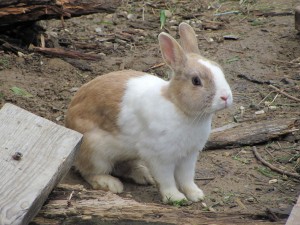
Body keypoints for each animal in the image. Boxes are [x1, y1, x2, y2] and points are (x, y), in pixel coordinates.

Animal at [65, 22, 233, 203]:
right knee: (89, 172)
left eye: (221, 71)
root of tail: (68, 122)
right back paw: (111, 184)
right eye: (196, 81)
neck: (179, 107)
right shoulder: (160, 157)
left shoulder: (189, 156)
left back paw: (144, 176)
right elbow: (167, 180)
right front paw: (175, 198)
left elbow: (186, 178)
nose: (226, 97)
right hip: (95, 150)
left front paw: (196, 195)